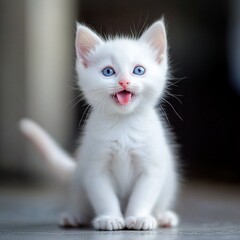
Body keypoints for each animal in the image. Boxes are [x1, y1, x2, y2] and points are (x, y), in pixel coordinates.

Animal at [19, 20, 179, 231]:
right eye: (108, 71)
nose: (124, 81)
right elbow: (104, 196)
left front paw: (139, 217)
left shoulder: (152, 167)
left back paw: (163, 216)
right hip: (79, 180)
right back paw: (74, 216)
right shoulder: (95, 167)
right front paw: (109, 218)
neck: (123, 123)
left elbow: (142, 195)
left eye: (139, 70)